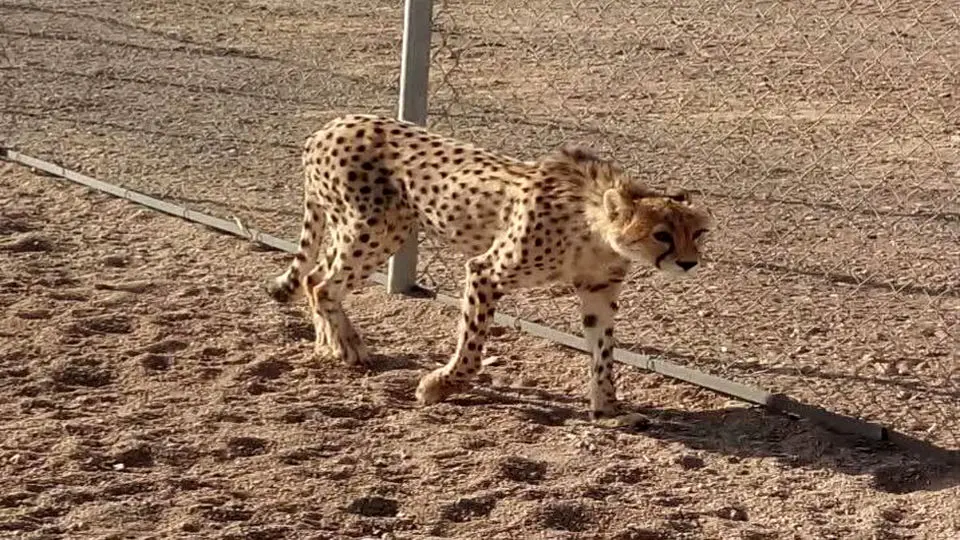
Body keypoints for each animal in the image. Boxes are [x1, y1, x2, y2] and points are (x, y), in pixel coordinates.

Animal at [266, 113, 708, 418]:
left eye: (699, 233)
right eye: (662, 235)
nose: (689, 264)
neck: (595, 227)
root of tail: (330, 126)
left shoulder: (598, 290)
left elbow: (603, 353)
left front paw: (607, 410)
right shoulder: (485, 270)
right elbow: (472, 346)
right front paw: (439, 385)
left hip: (358, 228)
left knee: (314, 277)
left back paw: (328, 344)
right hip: (376, 229)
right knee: (323, 284)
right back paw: (349, 346)